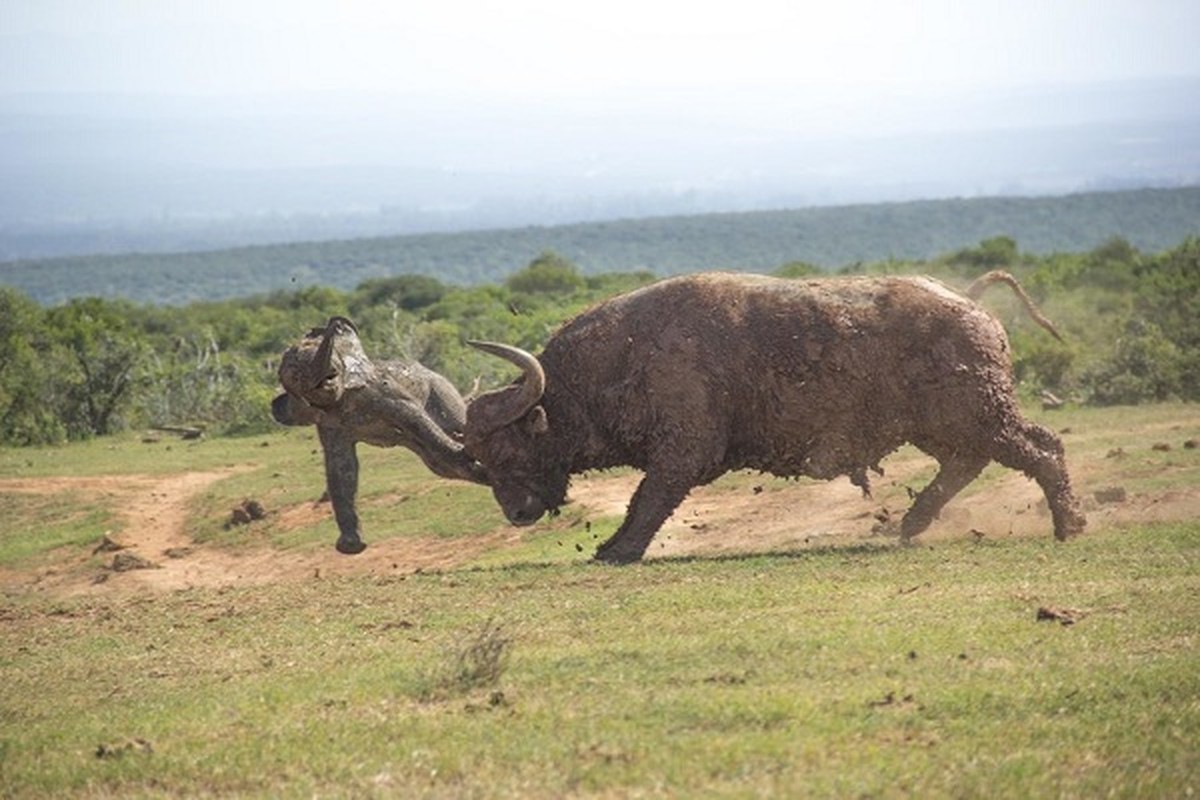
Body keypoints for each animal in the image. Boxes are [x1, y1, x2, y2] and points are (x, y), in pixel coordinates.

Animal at [465, 268, 1089, 563]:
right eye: (479, 459)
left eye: (508, 449)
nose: (516, 513)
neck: (622, 357)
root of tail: (970, 303)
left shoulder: (682, 452)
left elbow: (647, 502)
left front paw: (616, 550)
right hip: (943, 425)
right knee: (970, 462)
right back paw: (912, 523)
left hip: (980, 414)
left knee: (1042, 448)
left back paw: (1070, 526)